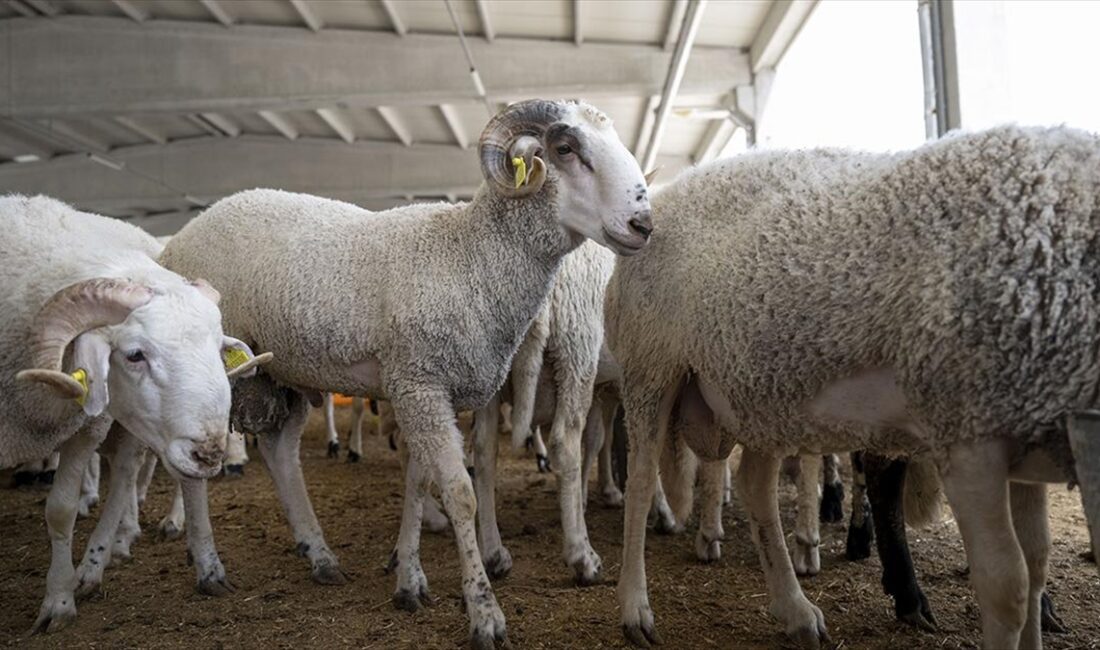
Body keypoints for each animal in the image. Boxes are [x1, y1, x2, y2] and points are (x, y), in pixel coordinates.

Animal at [1, 195, 268, 633]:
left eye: (218, 349)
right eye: (134, 355)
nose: (210, 453)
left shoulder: (84, 429)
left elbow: (61, 510)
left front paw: (58, 602)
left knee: (128, 474)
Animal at [159, 98, 646, 646]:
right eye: (565, 148)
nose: (644, 224)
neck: (468, 257)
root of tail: (180, 238)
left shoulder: (421, 388)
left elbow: (417, 480)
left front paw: (410, 580)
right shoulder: (420, 384)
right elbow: (458, 494)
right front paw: (484, 612)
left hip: (280, 370)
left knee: (280, 451)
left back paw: (319, 555)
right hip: (207, 367)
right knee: (195, 467)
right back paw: (208, 567)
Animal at [607, 127, 1100, 650]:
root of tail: (669, 192)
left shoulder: (1024, 438)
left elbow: (1038, 561)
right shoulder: (967, 438)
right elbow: (1008, 586)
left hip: (758, 395)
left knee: (754, 485)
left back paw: (795, 610)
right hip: (650, 367)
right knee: (642, 481)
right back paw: (636, 609)